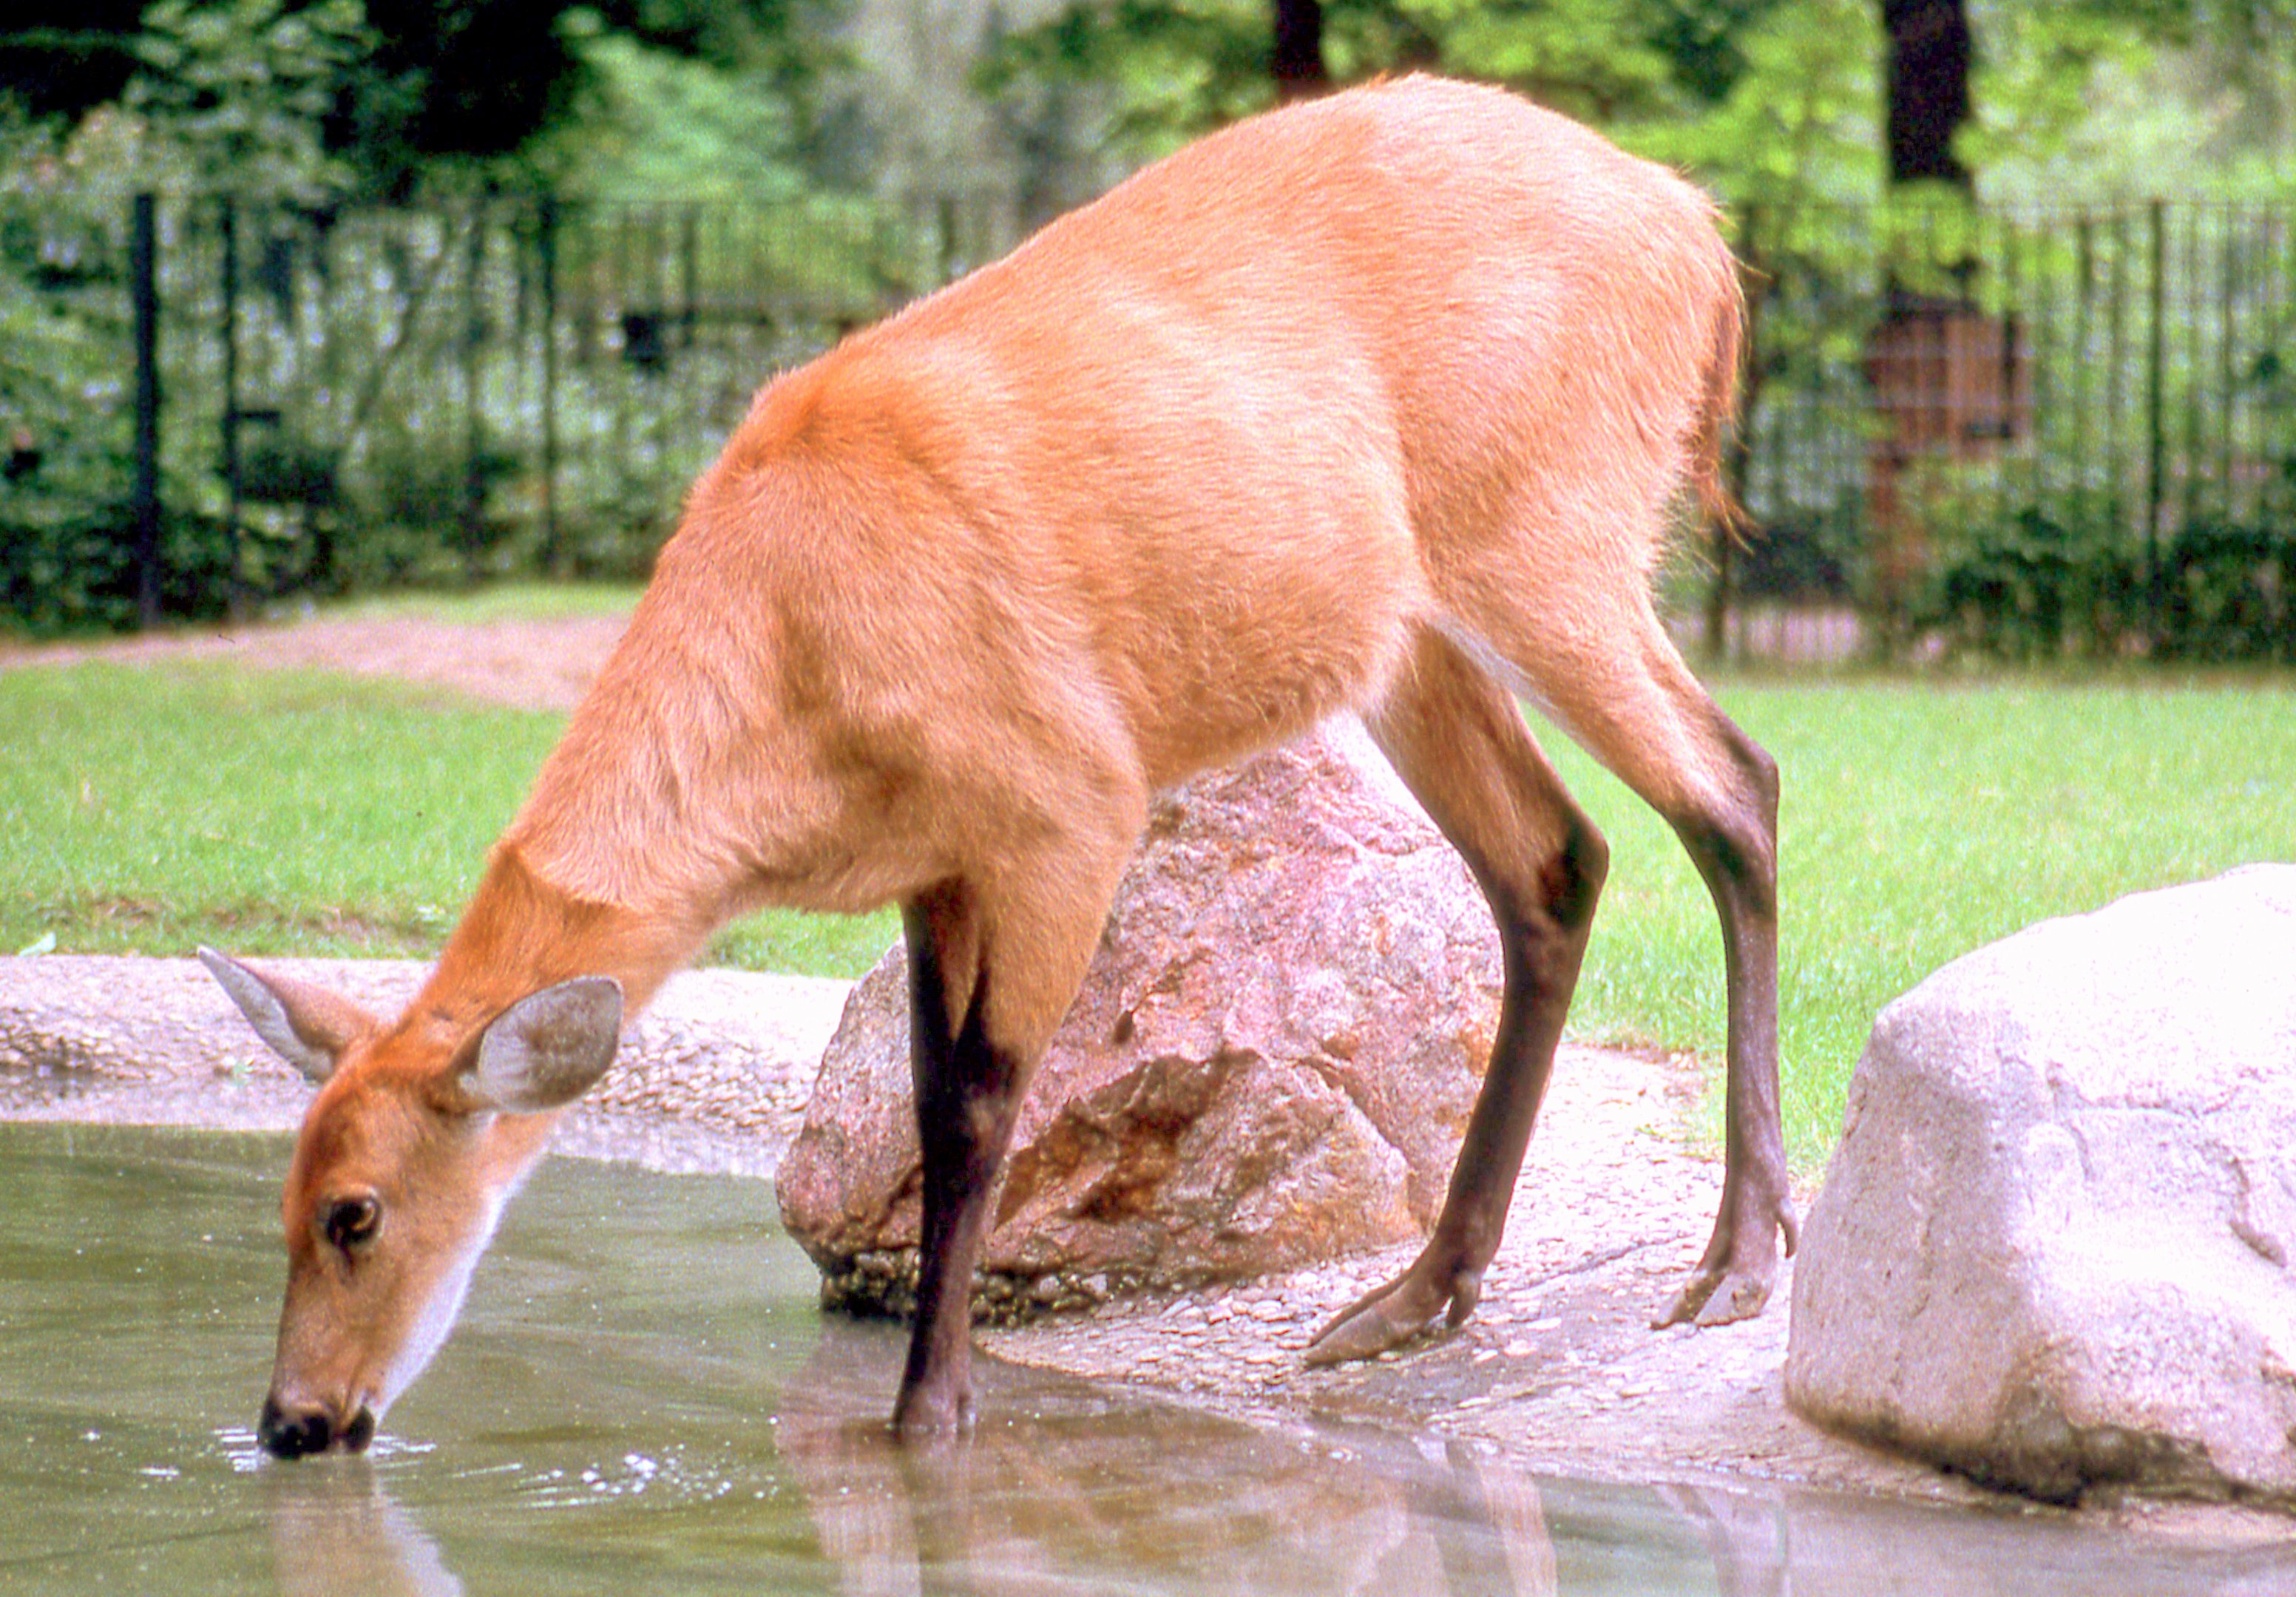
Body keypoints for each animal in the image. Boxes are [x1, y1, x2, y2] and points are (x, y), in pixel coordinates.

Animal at [202, 73, 1793, 1458]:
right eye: (277, 1197)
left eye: (355, 1213)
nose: (293, 1422)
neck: (798, 704)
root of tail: (1695, 234)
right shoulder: (937, 858)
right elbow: (925, 1106)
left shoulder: (1068, 801)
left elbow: (983, 1108)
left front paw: (929, 1416)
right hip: (1412, 634)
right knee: (1557, 858)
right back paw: (1413, 1298)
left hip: (1548, 527)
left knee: (1736, 788)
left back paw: (1738, 1259)